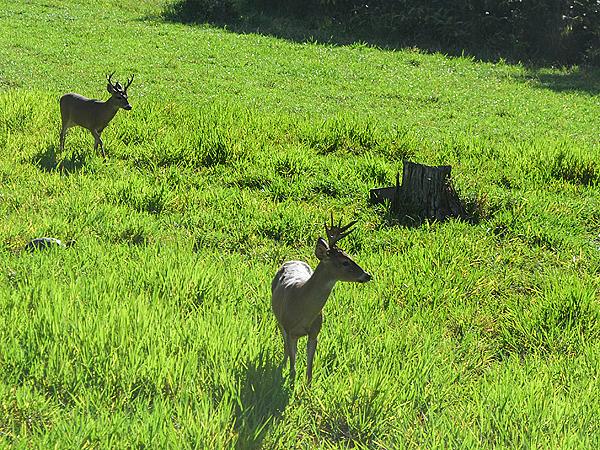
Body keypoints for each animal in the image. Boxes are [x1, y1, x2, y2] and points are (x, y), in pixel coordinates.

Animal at [270, 213, 370, 384]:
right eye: (345, 262)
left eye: (350, 256)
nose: (367, 275)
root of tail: (292, 260)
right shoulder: (290, 330)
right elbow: (293, 368)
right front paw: (290, 383)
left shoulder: (315, 333)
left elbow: (309, 370)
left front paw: (307, 388)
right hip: (279, 320)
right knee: (284, 345)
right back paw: (282, 363)